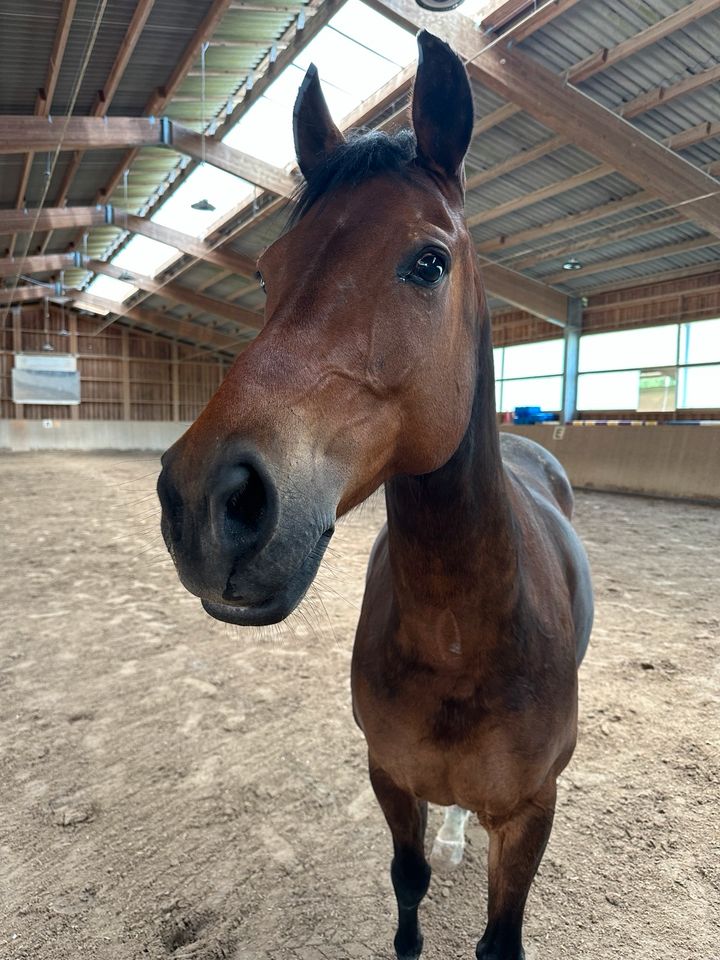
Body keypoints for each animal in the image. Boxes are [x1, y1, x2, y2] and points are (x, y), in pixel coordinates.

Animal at [158, 30, 592, 960]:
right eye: (265, 271)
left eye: (429, 261)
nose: (207, 503)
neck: (461, 637)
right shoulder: (389, 779)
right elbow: (408, 887)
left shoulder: (531, 816)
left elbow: (500, 938)